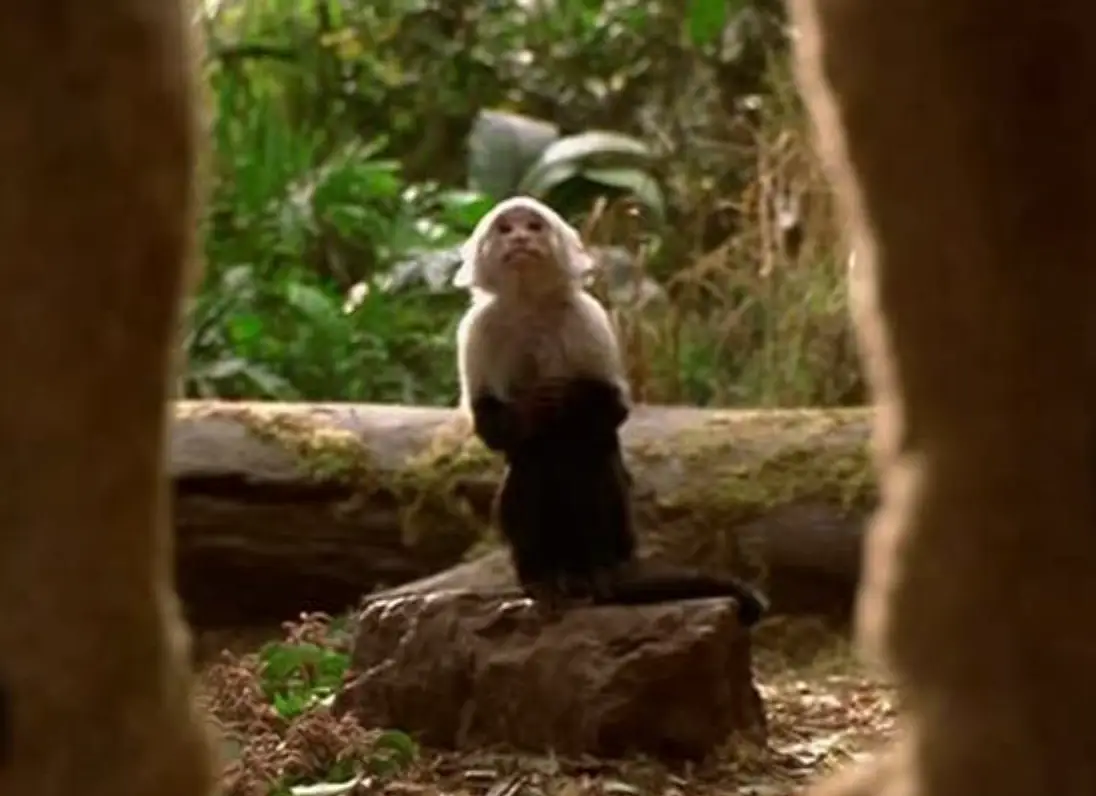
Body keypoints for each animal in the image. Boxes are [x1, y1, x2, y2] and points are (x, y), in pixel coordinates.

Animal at [454, 196, 769, 627]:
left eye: (533, 226)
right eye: (505, 229)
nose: (519, 238)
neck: (531, 305)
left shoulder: (587, 317)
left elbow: (612, 408)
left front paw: (565, 398)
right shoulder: (478, 328)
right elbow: (490, 424)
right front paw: (532, 407)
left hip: (624, 541)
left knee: (589, 455)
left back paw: (602, 576)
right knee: (529, 467)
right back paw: (544, 582)